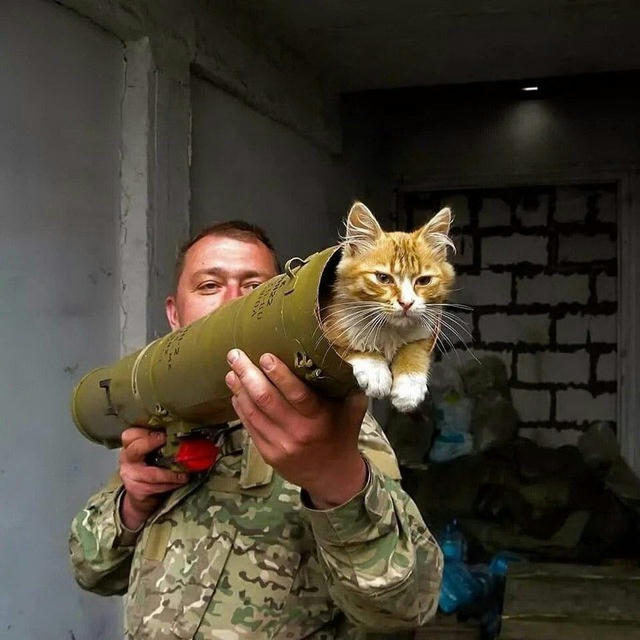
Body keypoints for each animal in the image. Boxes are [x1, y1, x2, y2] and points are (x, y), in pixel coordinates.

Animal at [324, 202, 456, 412]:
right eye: (383, 278)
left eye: (424, 281)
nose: (406, 303)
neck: (390, 330)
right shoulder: (328, 331)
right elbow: (352, 346)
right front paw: (376, 373)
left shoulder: (424, 335)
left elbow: (413, 349)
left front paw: (409, 388)